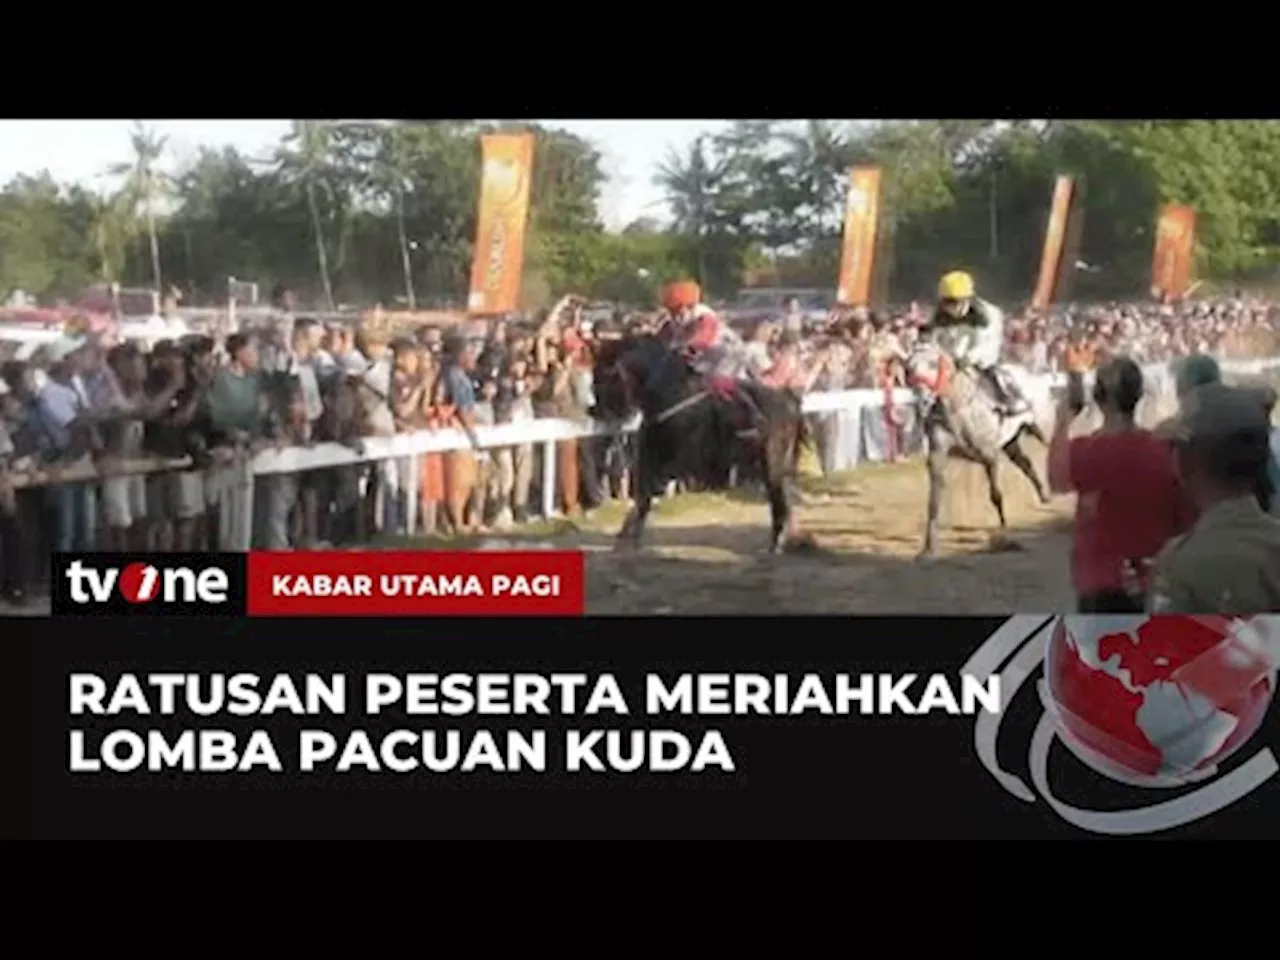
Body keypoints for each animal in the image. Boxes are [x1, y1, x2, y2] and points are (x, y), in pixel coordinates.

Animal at [591, 332, 808, 552]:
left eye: (605, 374)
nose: (594, 410)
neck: (669, 392)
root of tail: (790, 401)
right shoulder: (650, 453)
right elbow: (643, 493)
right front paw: (628, 535)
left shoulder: (681, 459)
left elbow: (650, 491)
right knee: (783, 495)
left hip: (772, 461)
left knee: (779, 496)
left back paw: (778, 542)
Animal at [901, 343, 1049, 560]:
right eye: (909, 368)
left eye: (933, 364)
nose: (922, 401)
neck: (958, 409)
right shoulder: (938, 456)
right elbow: (934, 501)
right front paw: (928, 548)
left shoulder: (990, 456)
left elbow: (996, 496)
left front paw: (1004, 534)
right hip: (1010, 442)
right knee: (1025, 463)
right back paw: (1044, 493)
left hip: (1033, 424)